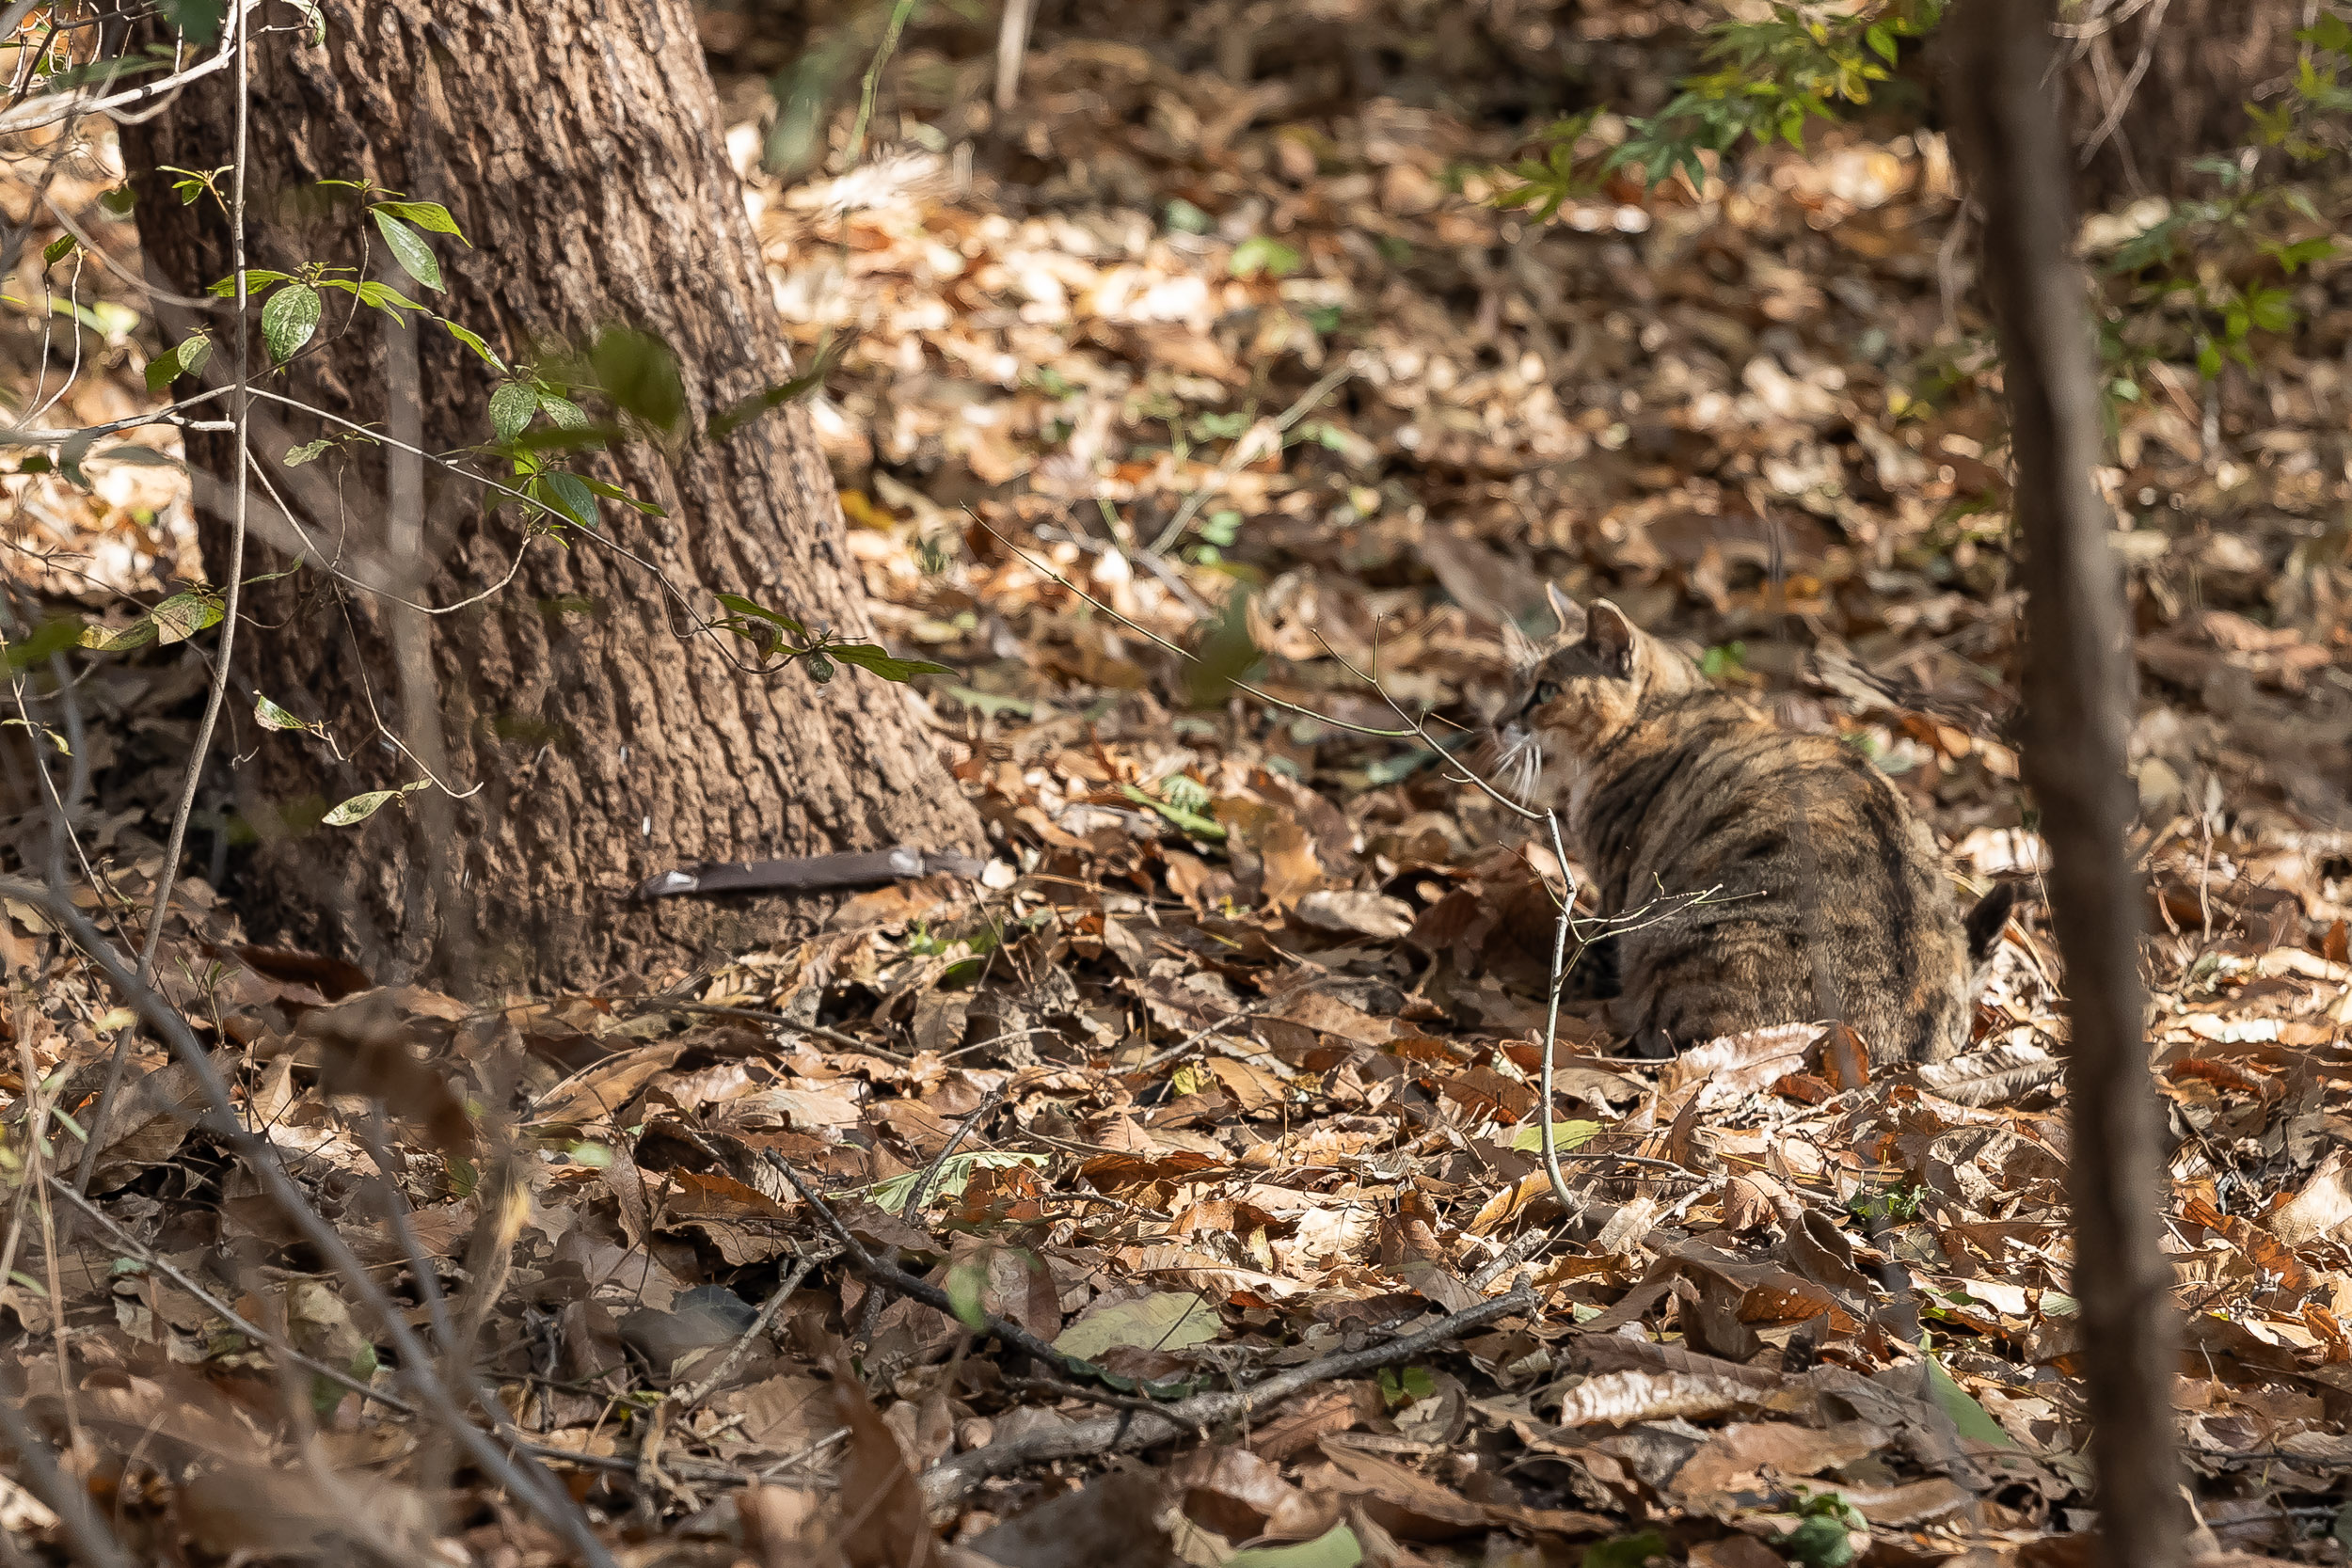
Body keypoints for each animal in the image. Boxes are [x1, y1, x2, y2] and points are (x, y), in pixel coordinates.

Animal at [1496, 587, 2013, 1067]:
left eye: (1546, 690)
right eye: (1516, 683)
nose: (1498, 722)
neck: (1670, 711)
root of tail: (1900, 1055)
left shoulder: (1616, 892)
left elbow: (1595, 947)